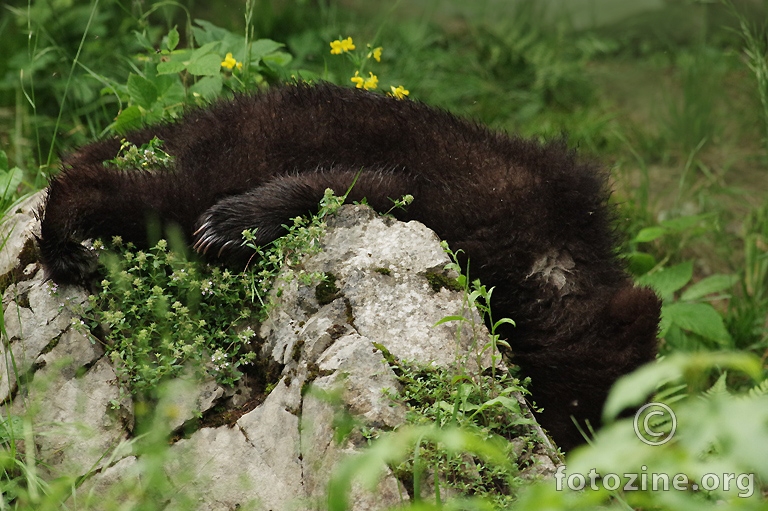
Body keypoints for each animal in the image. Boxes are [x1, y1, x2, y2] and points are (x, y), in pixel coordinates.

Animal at [37, 81, 660, 452]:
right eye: (589, 416)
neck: (551, 261)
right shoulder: (476, 204)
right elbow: (367, 185)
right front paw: (233, 222)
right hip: (229, 146)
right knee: (150, 194)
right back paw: (64, 241)